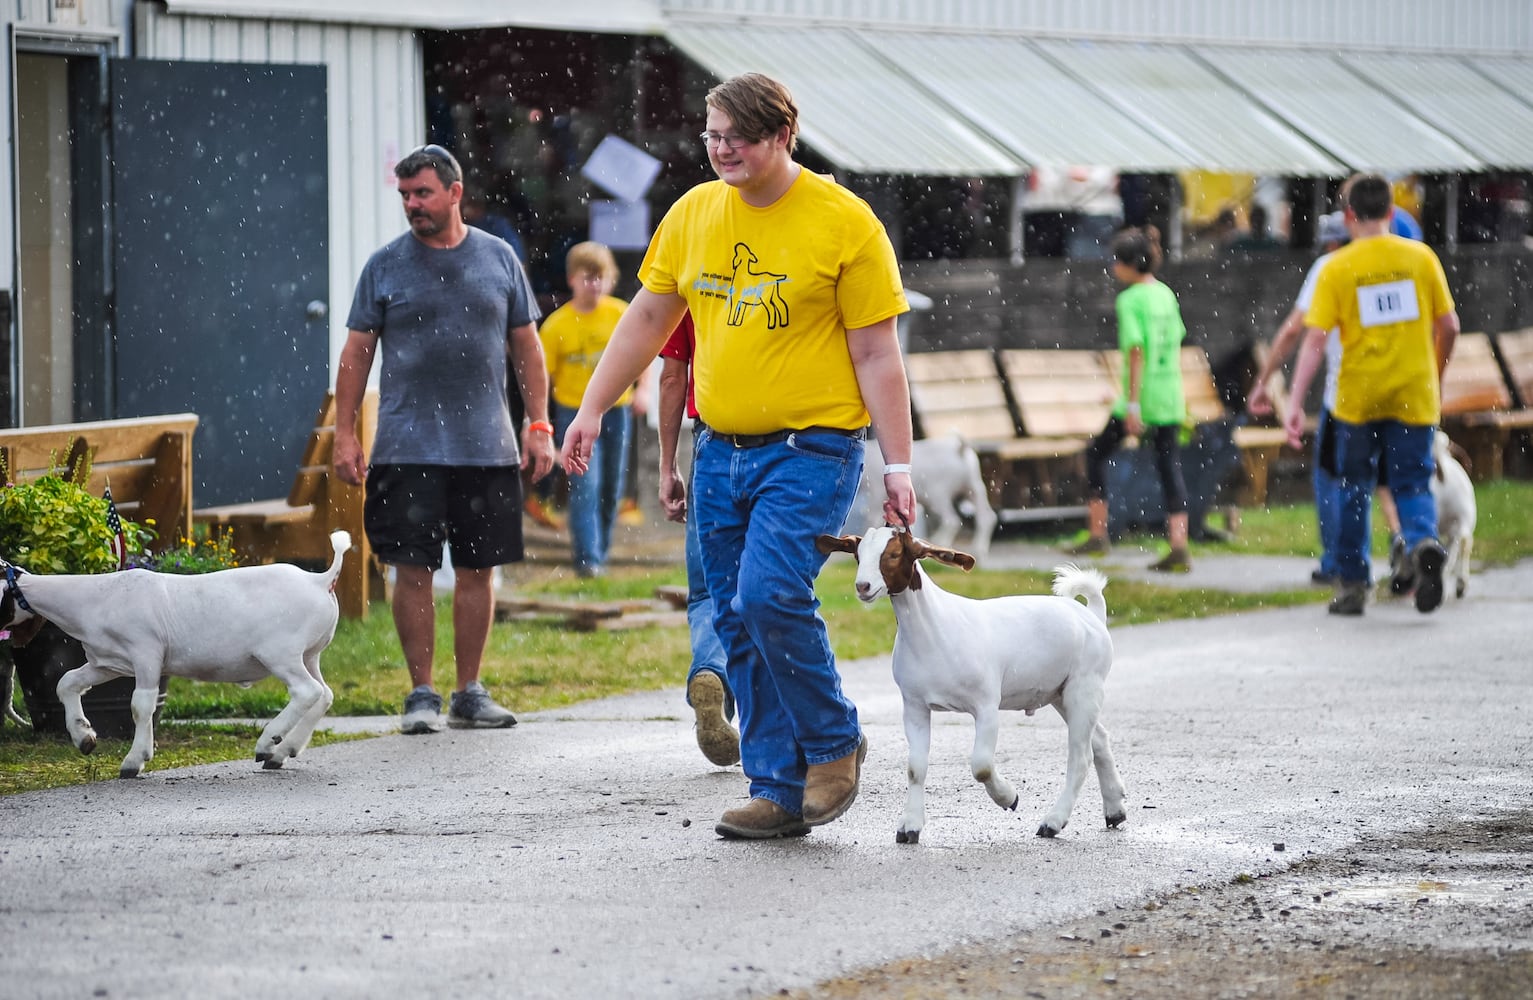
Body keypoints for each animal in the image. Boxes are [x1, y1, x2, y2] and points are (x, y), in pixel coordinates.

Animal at [1, 527, 349, 776]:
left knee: (306, 691)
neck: (97, 598)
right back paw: (282, 752)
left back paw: (268, 743)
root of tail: (321, 580)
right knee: (324, 694)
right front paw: (84, 738)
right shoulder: (108, 663)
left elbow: (140, 705)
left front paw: (134, 761)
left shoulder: (146, 652)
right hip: (309, 653)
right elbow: (67, 683)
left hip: (281, 652)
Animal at [815, 524, 1128, 846]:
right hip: (1061, 693)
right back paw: (1114, 810)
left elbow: (981, 765)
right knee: (1099, 739)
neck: (935, 627)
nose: (863, 586)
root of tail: (1092, 615)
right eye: (857, 555)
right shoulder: (914, 706)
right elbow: (915, 768)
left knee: (1081, 757)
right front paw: (909, 826)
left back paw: (1052, 822)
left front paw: (1009, 797)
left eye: (893, 554)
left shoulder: (986, 705)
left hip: (1084, 685)